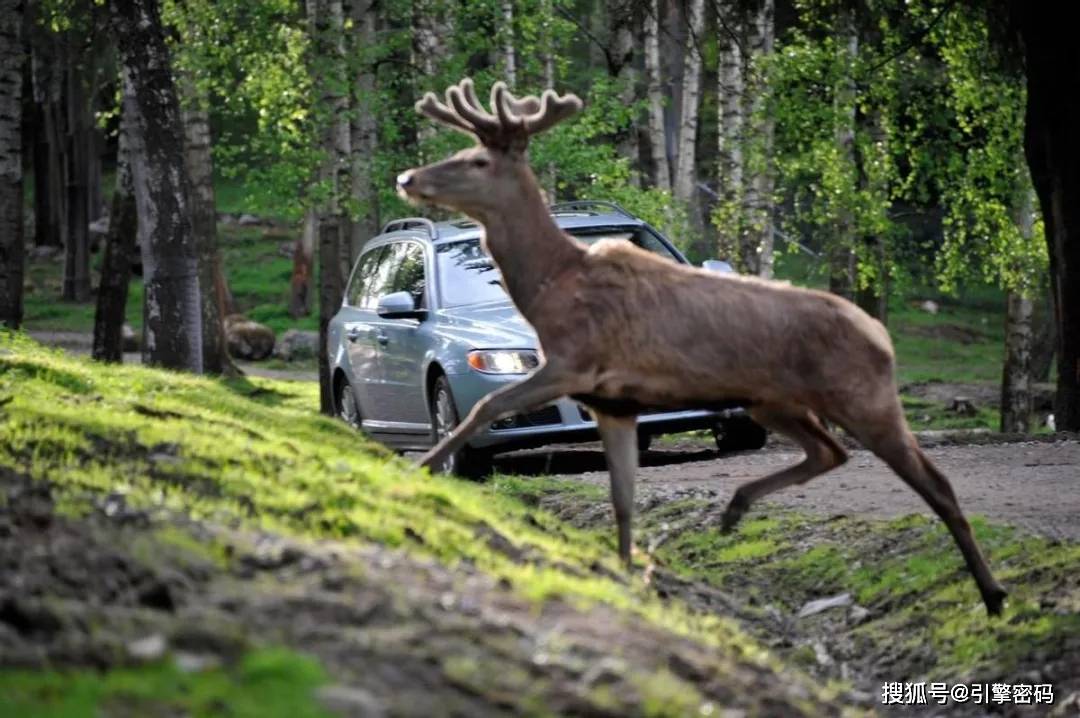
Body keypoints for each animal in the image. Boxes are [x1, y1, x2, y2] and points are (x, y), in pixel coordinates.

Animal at [401, 79, 1006, 617]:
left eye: (477, 160)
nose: (408, 177)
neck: (550, 287)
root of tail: (883, 337)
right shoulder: (614, 402)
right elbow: (622, 500)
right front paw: (628, 572)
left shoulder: (575, 362)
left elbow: (486, 405)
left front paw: (423, 468)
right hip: (773, 401)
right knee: (830, 452)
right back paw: (734, 510)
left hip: (862, 395)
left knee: (935, 482)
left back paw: (994, 595)